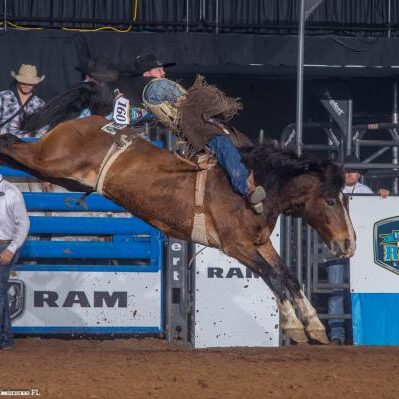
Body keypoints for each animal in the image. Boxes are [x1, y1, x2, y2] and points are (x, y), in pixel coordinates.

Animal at [0, 115, 356, 344]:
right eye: (329, 201)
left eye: (346, 199)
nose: (347, 245)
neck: (253, 187)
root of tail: (80, 122)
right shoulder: (235, 245)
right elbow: (271, 277)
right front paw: (294, 326)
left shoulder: (259, 242)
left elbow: (287, 276)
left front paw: (315, 326)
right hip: (50, 159)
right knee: (10, 144)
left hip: (59, 174)